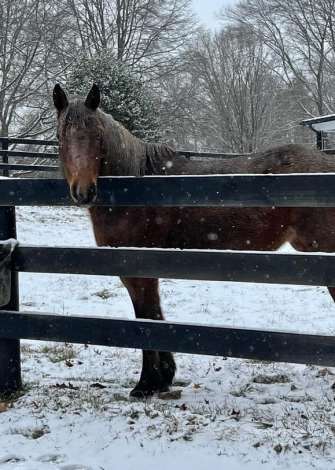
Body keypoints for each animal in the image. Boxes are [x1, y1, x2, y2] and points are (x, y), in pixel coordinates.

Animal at [53, 83, 335, 396]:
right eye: (60, 136)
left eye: (98, 135)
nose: (83, 191)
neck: (135, 188)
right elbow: (155, 315)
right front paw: (164, 378)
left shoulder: (138, 269)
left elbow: (146, 319)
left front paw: (146, 385)